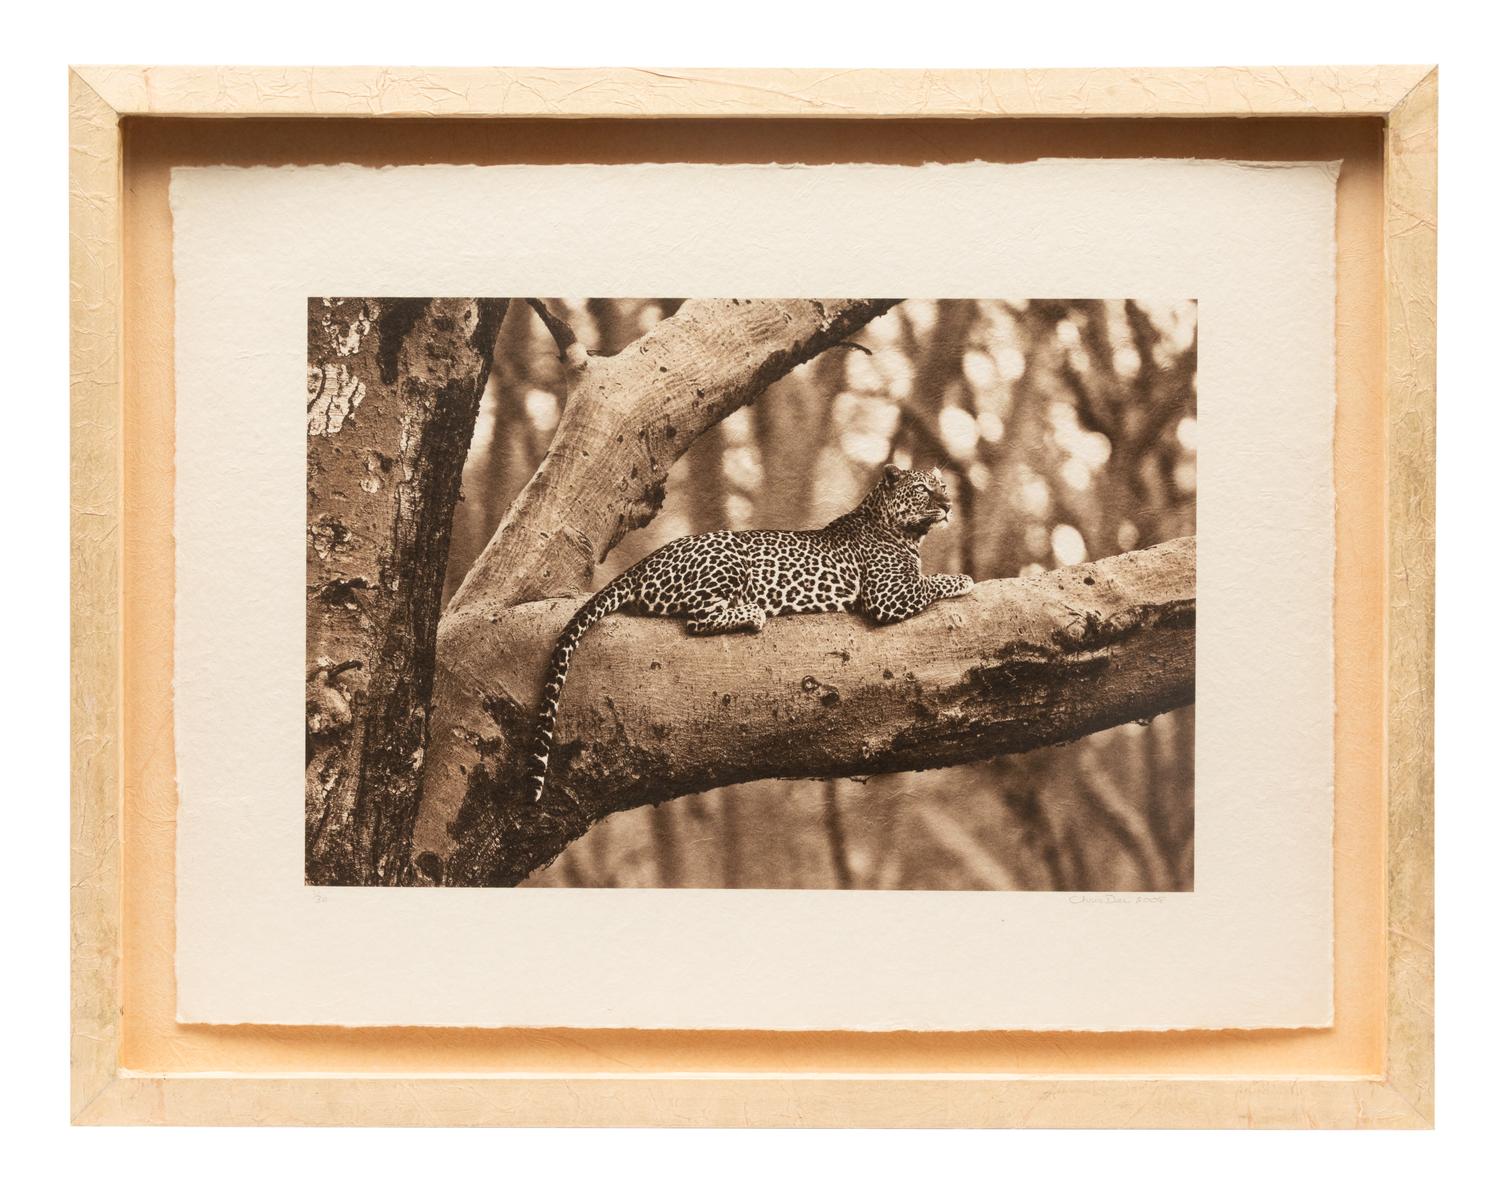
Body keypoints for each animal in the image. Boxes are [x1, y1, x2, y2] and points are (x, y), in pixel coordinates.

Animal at [522, 463, 975, 803]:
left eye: (943, 487)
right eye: (923, 490)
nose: (949, 505)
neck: (900, 530)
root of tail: (643, 563)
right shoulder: (888, 595)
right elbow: (932, 582)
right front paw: (963, 579)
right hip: (728, 558)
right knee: (698, 619)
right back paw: (753, 613)